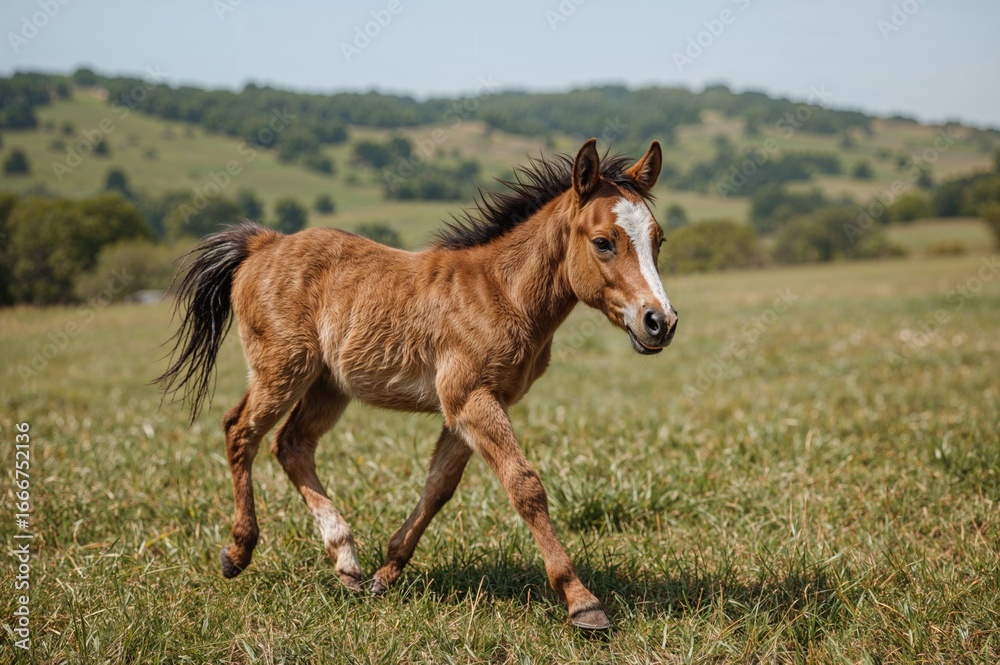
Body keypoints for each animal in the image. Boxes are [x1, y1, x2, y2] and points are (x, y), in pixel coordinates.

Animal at [156, 138, 678, 631]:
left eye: (658, 239)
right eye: (603, 242)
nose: (660, 322)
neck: (502, 292)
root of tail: (263, 244)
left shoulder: (473, 406)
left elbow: (439, 486)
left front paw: (387, 573)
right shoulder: (470, 399)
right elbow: (524, 485)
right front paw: (582, 602)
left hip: (327, 386)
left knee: (291, 444)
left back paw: (347, 563)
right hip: (283, 371)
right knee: (240, 430)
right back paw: (238, 552)